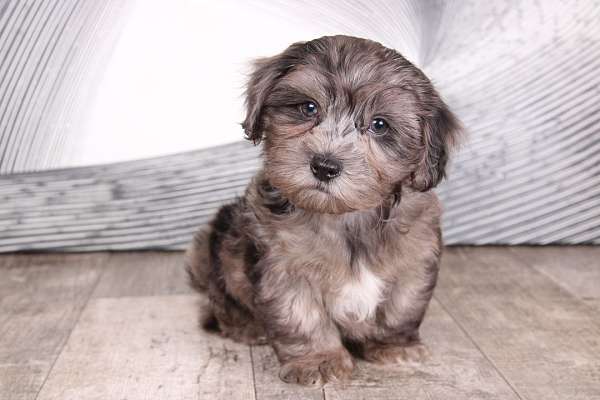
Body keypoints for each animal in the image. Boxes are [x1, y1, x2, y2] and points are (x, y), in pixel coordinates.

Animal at [185, 35, 462, 388]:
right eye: (308, 108)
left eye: (380, 125)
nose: (325, 166)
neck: (345, 216)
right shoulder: (284, 265)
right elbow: (303, 316)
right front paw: (319, 359)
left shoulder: (415, 259)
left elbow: (402, 306)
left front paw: (394, 345)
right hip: (211, 247)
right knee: (219, 298)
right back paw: (246, 326)